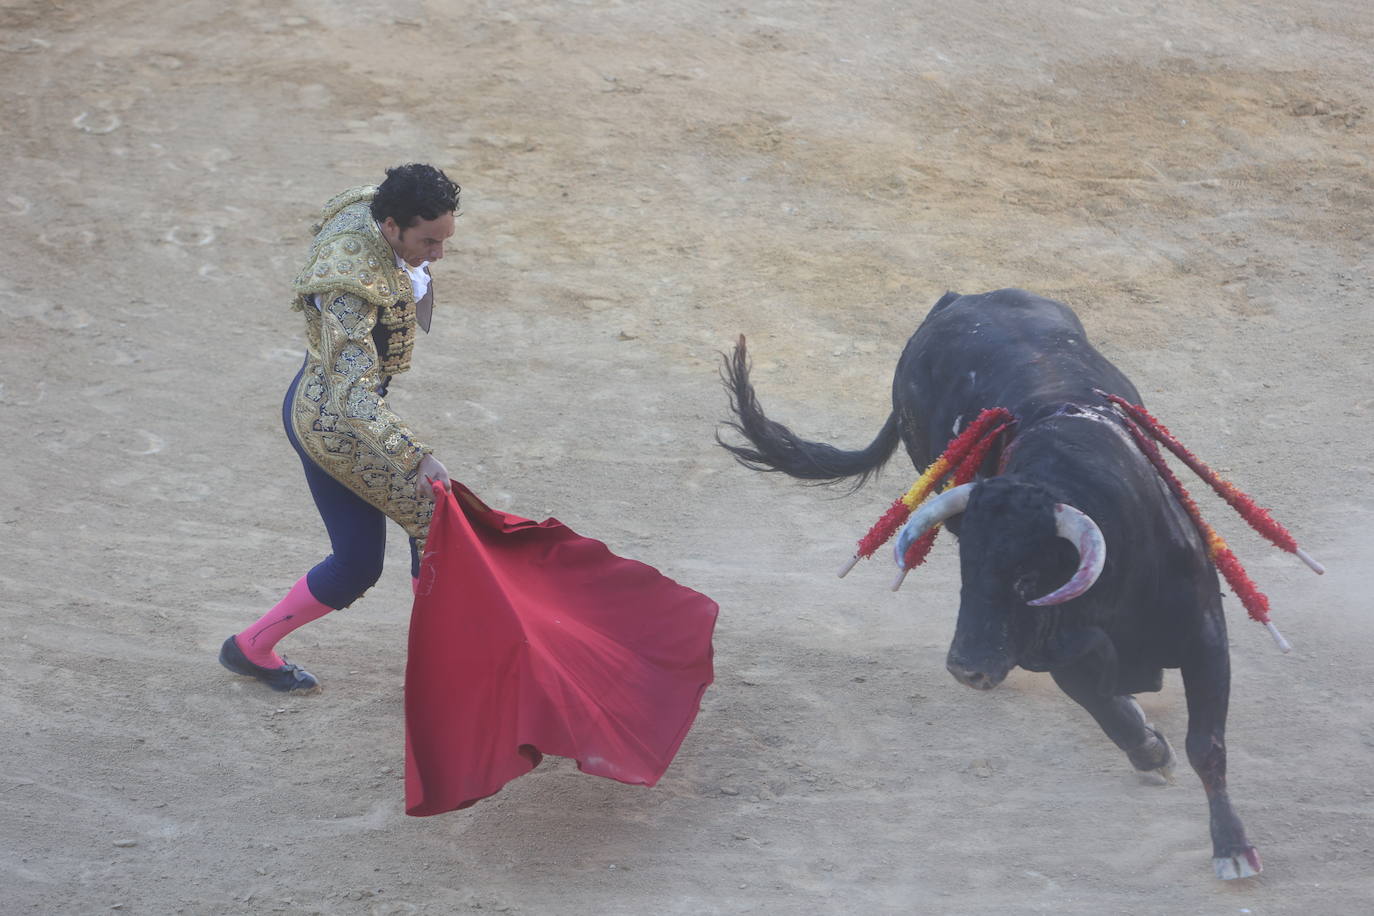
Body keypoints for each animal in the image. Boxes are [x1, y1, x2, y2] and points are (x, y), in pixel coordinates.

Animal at [719, 288, 1264, 878]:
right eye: (967, 573)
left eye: (1027, 578)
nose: (966, 668)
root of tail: (955, 301)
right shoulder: (1052, 649)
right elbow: (1103, 702)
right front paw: (1150, 750)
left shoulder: (1205, 633)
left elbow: (1206, 745)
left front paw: (1233, 849)